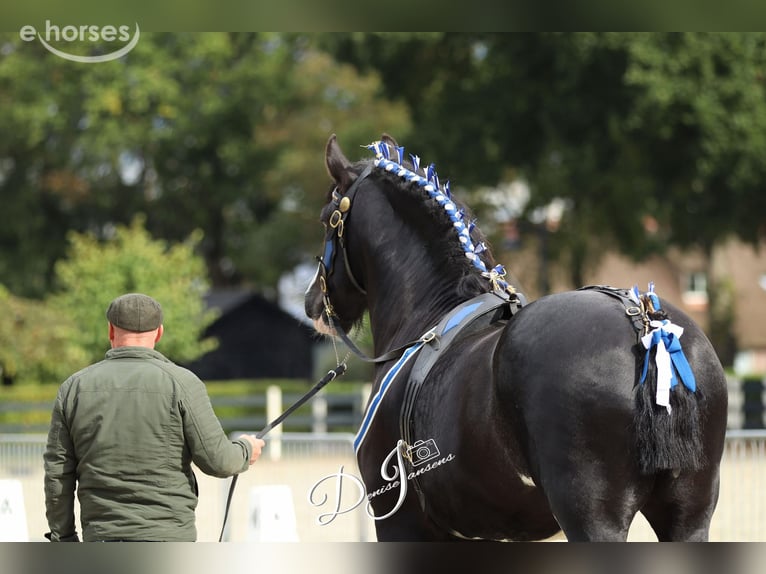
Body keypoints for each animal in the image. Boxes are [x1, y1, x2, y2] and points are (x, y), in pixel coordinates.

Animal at [304, 133, 728, 541]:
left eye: (326, 220)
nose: (311, 303)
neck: (428, 317)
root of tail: (644, 323)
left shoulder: (401, 522)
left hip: (593, 521)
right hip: (688, 518)